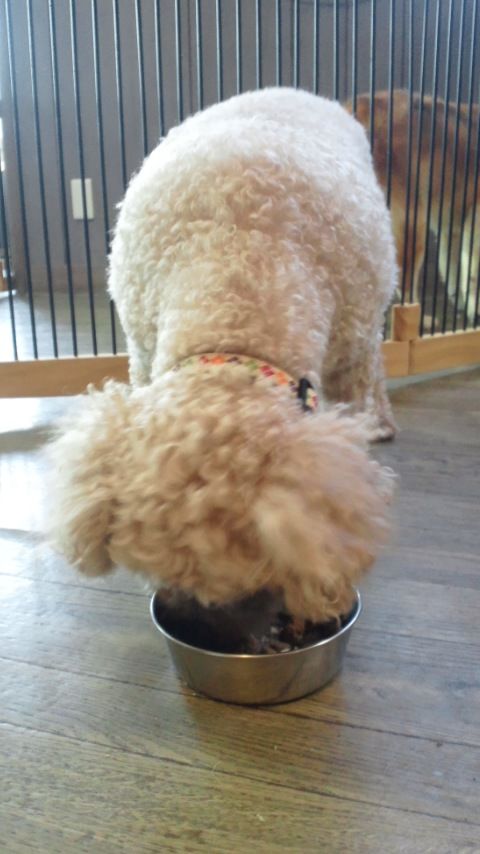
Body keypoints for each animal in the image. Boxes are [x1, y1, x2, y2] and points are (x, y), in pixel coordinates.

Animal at [47, 88, 395, 623]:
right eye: (158, 578)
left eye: (255, 586)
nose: (190, 619)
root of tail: (293, 90)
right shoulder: (141, 351)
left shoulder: (349, 357)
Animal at [352, 90, 480, 322]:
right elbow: (471, 274)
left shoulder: (452, 227)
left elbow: (451, 267)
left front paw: (459, 301)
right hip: (412, 223)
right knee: (405, 286)